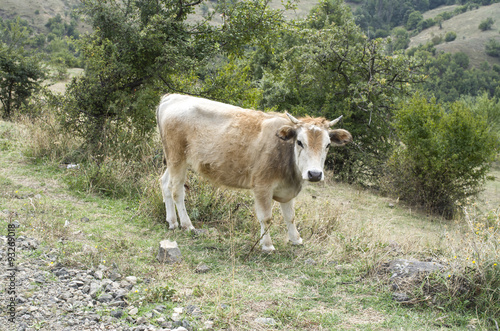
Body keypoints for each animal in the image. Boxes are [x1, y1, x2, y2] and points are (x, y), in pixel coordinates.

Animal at [156, 93, 352, 252]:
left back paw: (172, 222)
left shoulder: (287, 190)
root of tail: (172, 97)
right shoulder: (262, 186)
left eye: (327, 145)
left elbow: (290, 216)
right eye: (299, 142)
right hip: (177, 157)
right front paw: (267, 245)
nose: (314, 174)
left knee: (165, 184)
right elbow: (266, 217)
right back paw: (187, 225)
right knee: (177, 191)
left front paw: (296, 240)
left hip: (174, 160)